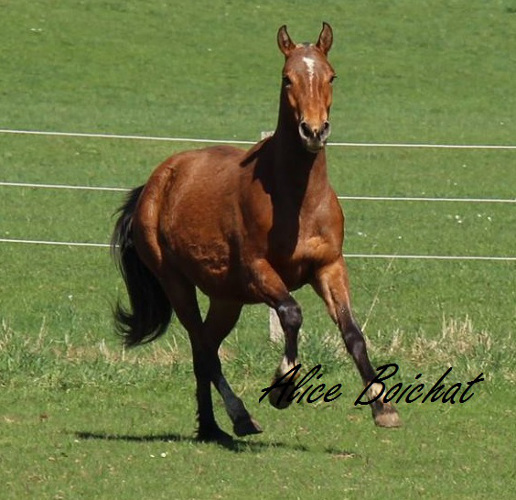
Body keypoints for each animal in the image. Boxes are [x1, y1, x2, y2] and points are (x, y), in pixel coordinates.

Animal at [112, 23, 404, 442]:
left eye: (331, 76)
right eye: (287, 78)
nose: (313, 131)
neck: (297, 201)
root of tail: (155, 183)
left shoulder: (329, 266)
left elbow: (352, 332)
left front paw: (384, 408)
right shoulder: (259, 270)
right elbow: (292, 314)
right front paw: (283, 386)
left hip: (226, 299)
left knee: (204, 350)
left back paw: (212, 428)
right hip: (177, 284)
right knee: (204, 351)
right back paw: (239, 417)